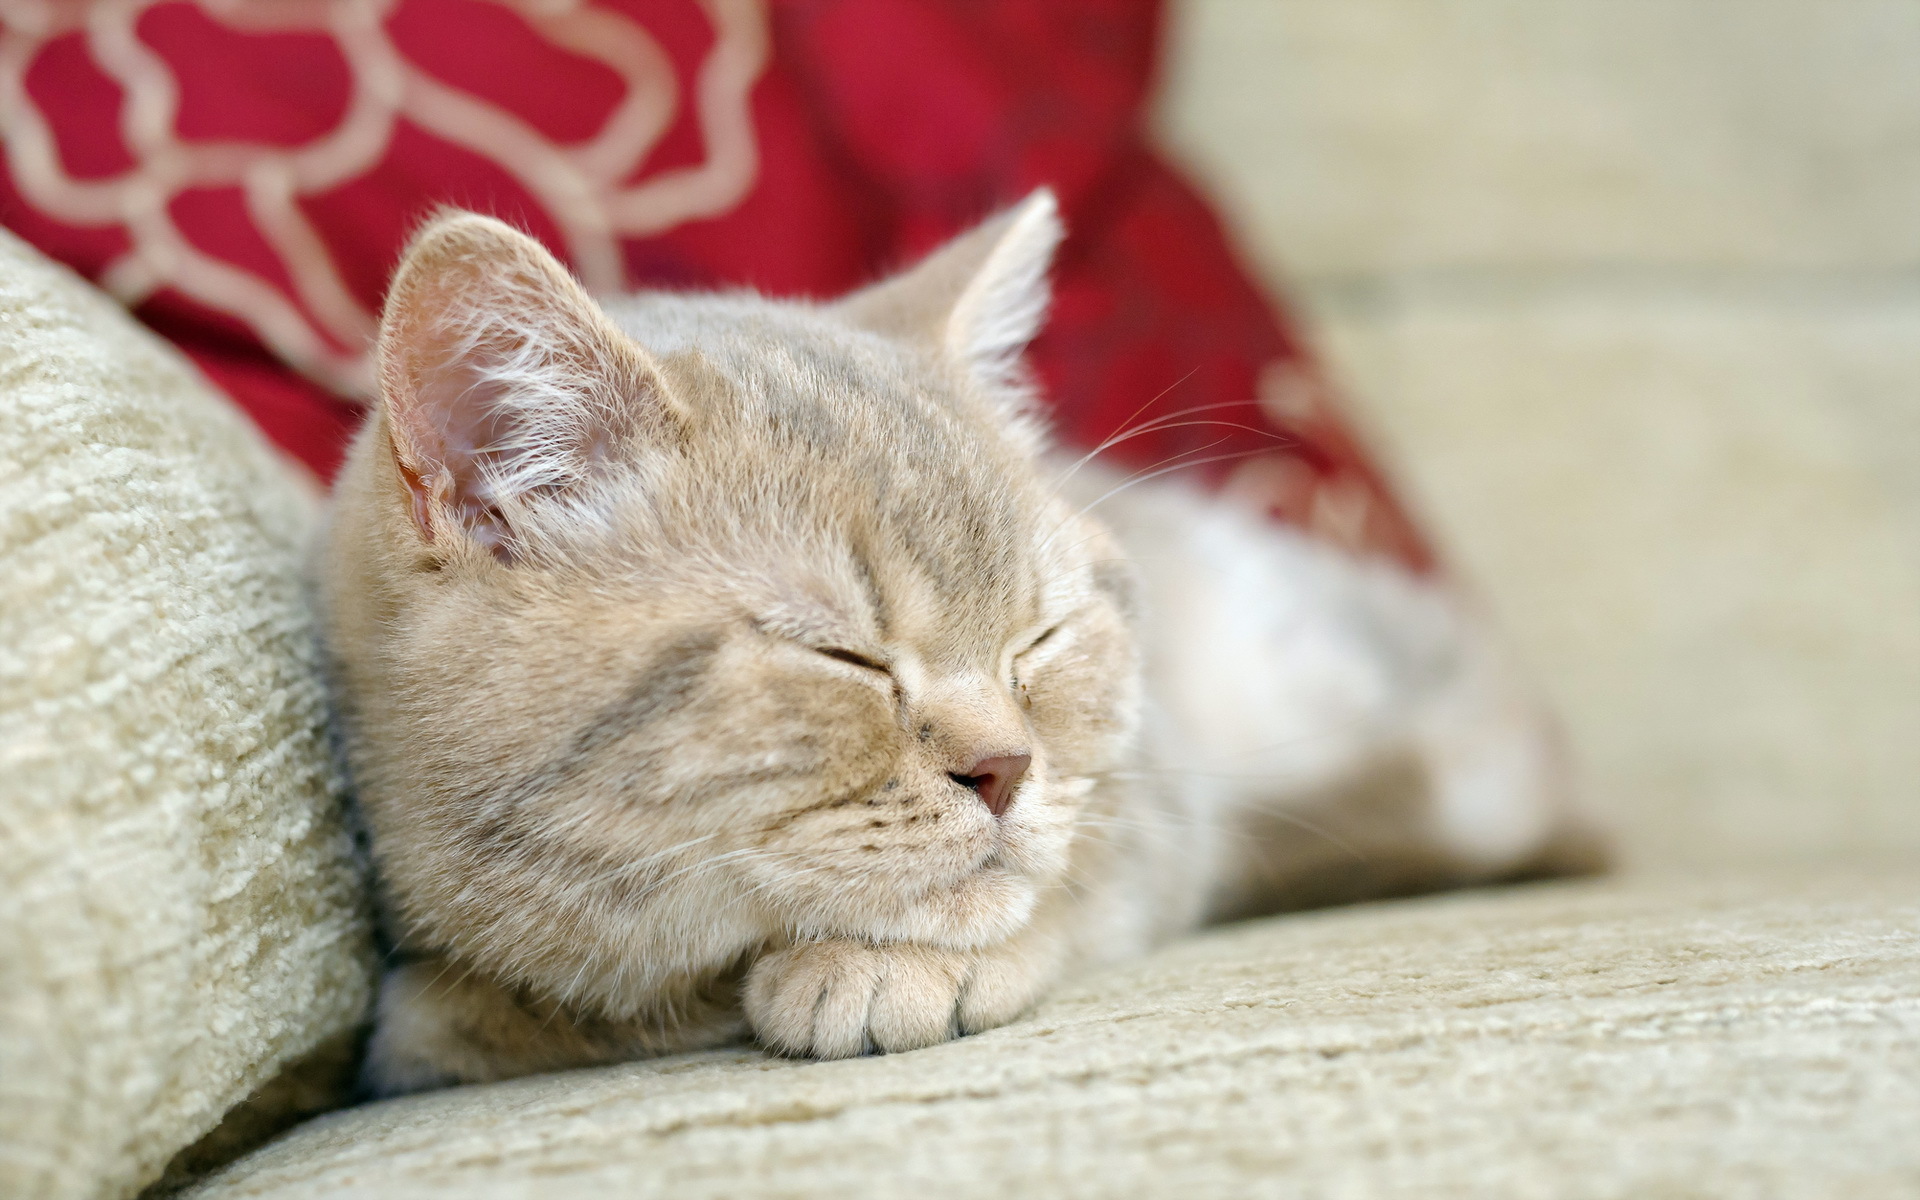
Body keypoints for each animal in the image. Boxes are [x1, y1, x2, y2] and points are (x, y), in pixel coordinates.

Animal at [318, 189, 1605, 1098]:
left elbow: (1079, 876)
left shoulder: (1158, 790)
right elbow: (436, 1021)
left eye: (1041, 637)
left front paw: (893, 965)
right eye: (841, 658)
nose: (1004, 767)